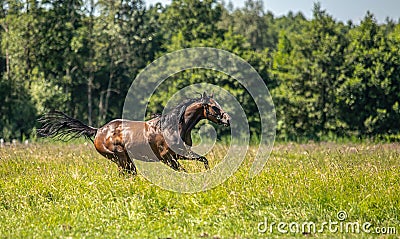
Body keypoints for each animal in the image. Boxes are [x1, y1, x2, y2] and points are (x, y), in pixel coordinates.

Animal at [38, 92, 231, 175]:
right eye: (214, 107)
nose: (227, 119)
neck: (174, 126)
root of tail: (98, 131)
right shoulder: (167, 157)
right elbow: (183, 171)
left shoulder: (181, 154)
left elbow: (204, 160)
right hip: (120, 157)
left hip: (125, 160)